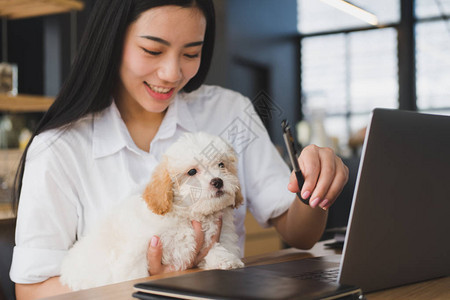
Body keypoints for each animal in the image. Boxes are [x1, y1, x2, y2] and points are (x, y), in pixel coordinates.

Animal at [59, 132, 244, 290]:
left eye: (222, 165)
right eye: (192, 172)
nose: (218, 181)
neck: (189, 214)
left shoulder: (220, 237)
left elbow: (216, 248)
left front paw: (225, 260)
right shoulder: (137, 251)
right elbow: (135, 273)